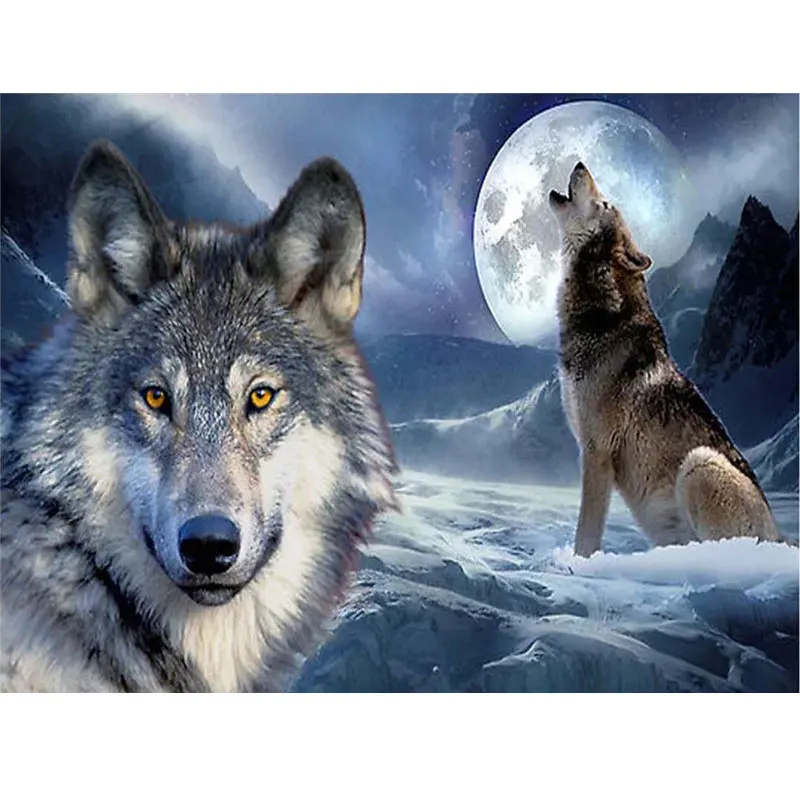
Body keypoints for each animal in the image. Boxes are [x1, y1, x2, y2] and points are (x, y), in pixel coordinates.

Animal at [549, 161, 786, 558]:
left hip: (699, 464)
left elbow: (586, 534)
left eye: (605, 203)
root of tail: (782, 538)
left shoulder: (597, 452)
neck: (601, 316)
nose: (580, 163)